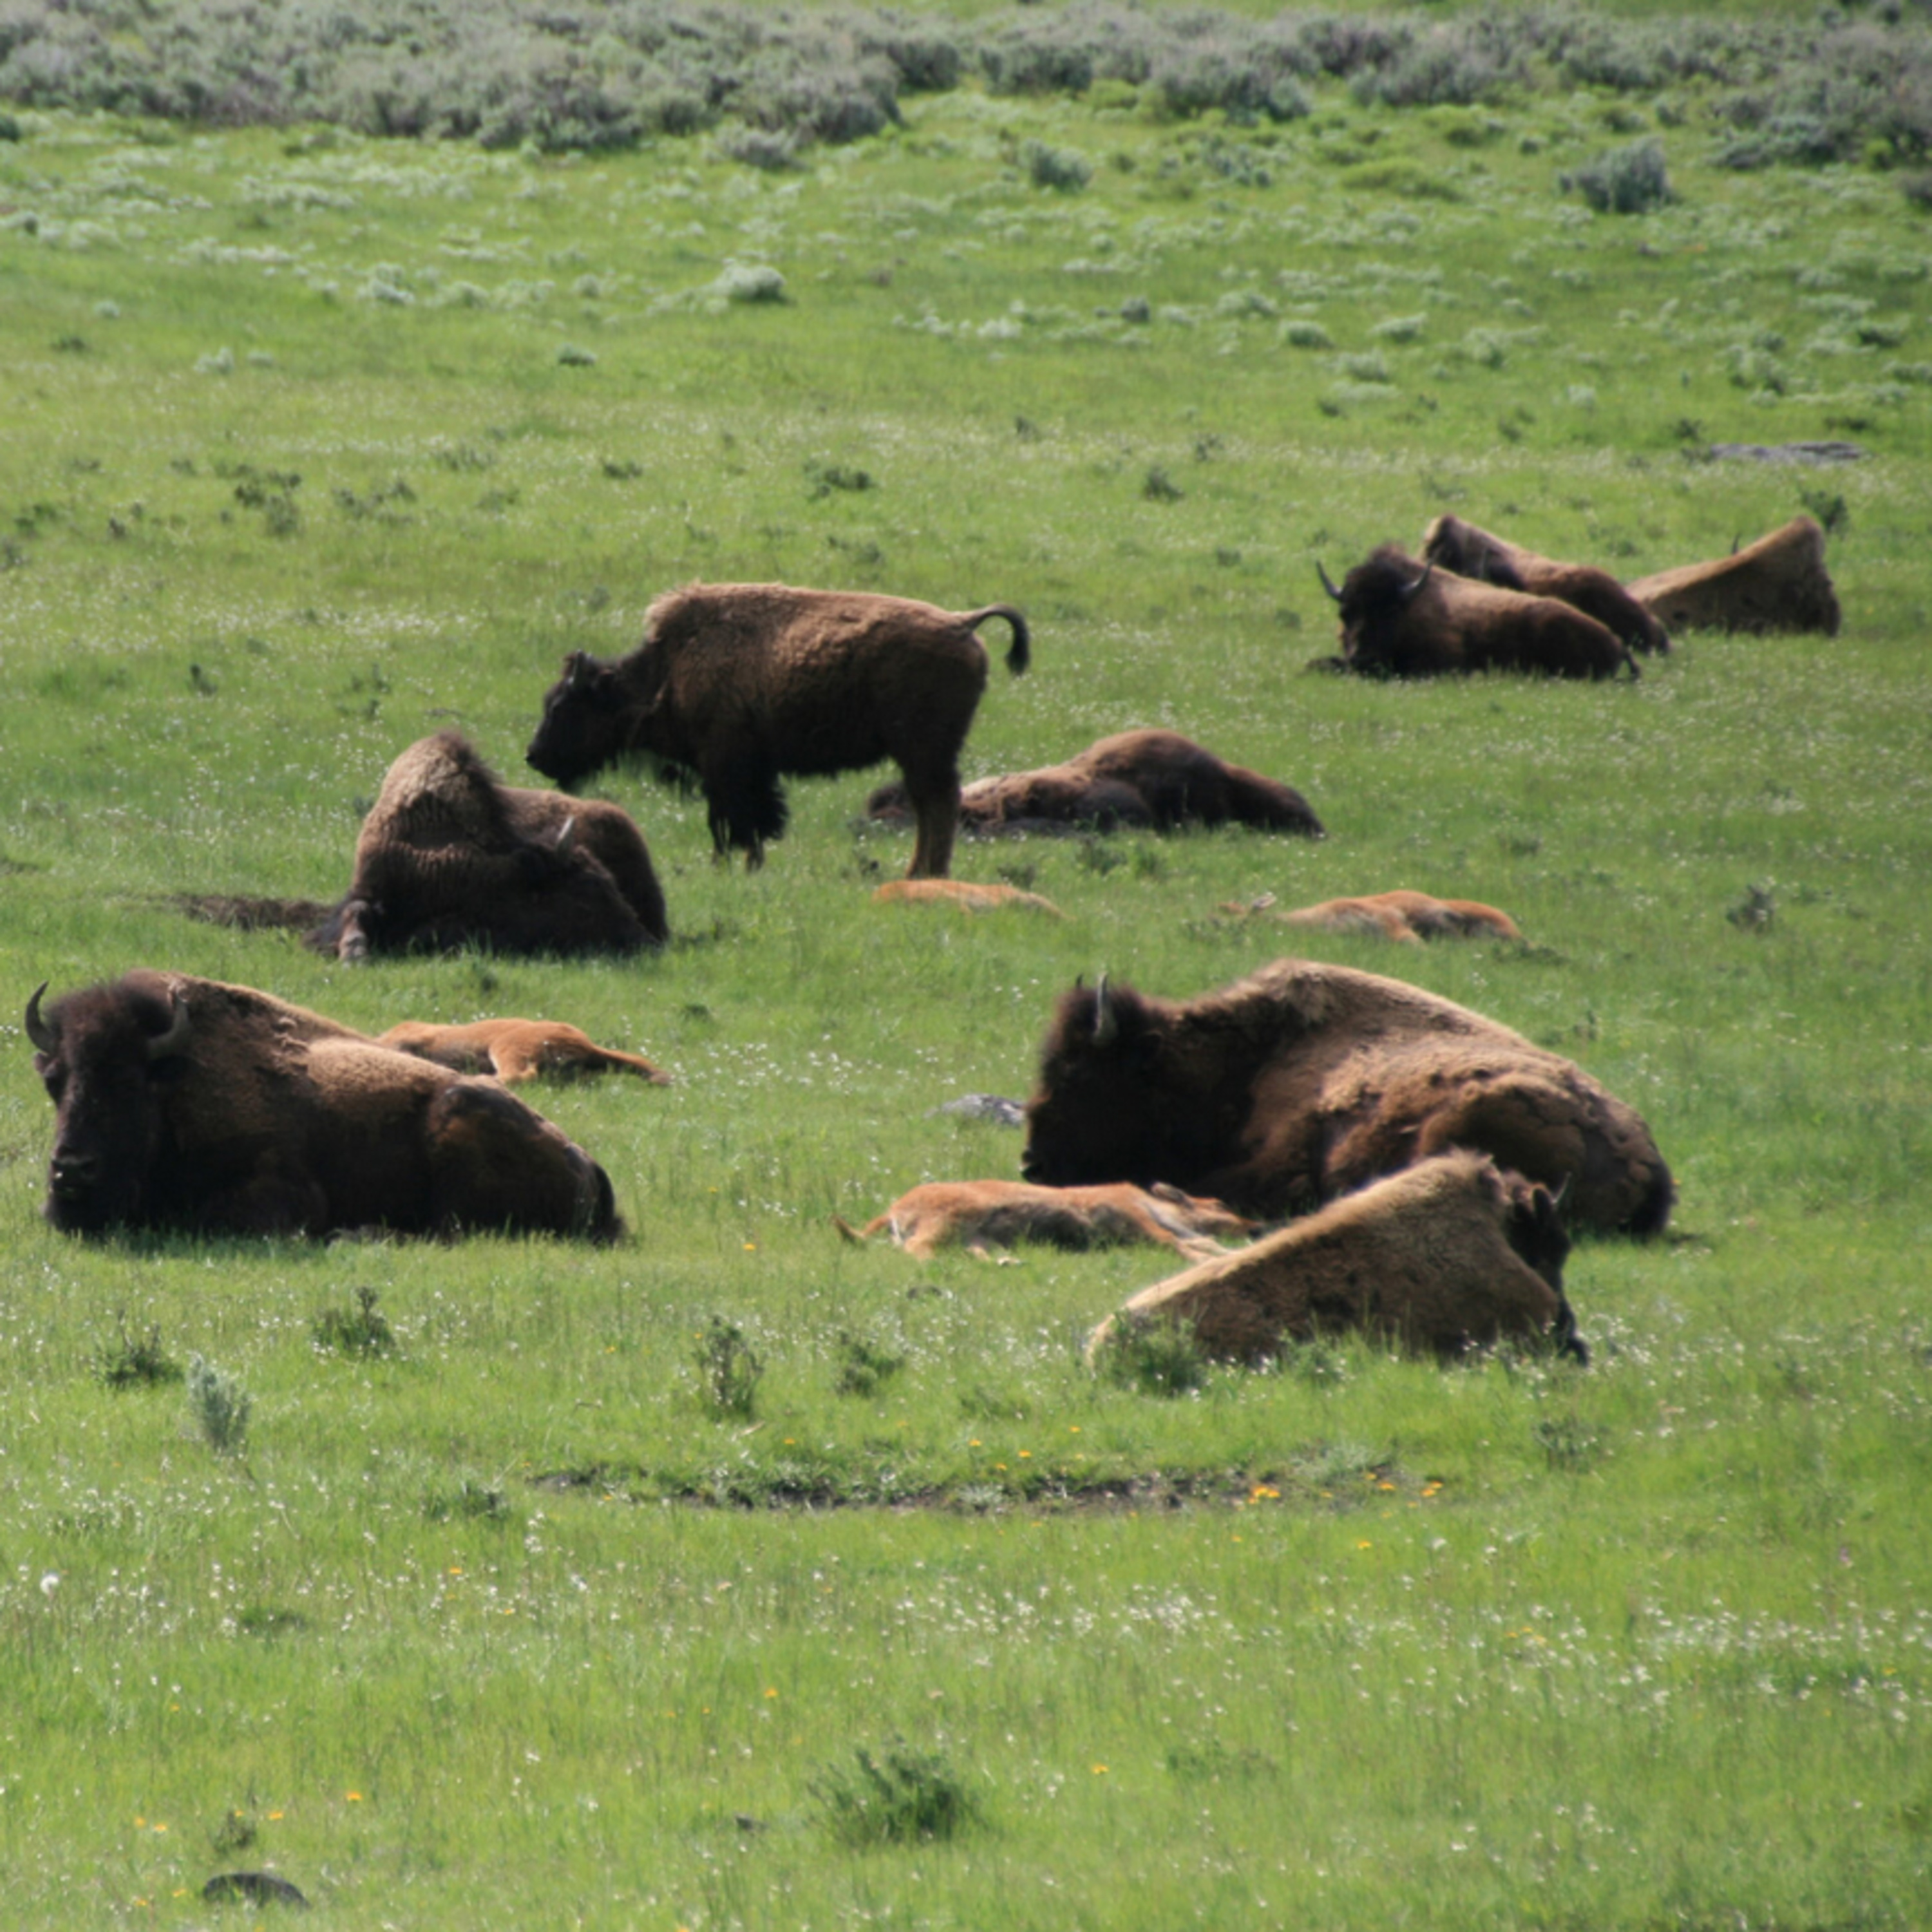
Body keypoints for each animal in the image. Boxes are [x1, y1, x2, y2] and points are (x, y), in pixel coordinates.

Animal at [26, 972, 620, 1240]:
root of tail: (587, 1162)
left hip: (458, 1120)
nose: (71, 1169)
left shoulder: (283, 1194)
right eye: (54, 1081)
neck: (178, 1082)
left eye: (131, 1085)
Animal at [308, 732, 667, 961]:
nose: (643, 943)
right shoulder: (367, 885)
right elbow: (356, 912)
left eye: (608, 883)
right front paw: (354, 955)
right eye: (588, 888)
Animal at [526, 582, 1030, 879]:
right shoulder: (747, 769)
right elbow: (750, 819)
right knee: (933, 805)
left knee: (937, 804)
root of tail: (961, 623)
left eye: (564, 707)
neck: (667, 670)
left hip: (923, 751)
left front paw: (730, 866)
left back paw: (923, 875)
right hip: (923, 754)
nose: (534, 756)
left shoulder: (724, 765)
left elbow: (731, 820)